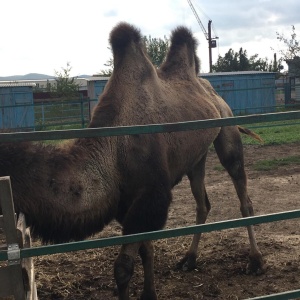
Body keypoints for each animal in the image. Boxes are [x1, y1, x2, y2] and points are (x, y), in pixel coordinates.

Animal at [0, 22, 264, 298]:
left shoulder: (152, 195)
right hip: (196, 157)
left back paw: (255, 261)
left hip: (227, 127)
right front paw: (150, 292)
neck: (112, 152)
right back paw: (189, 259)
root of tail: (210, 89)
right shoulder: (127, 202)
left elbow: (123, 267)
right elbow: (146, 249)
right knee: (202, 203)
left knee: (243, 195)